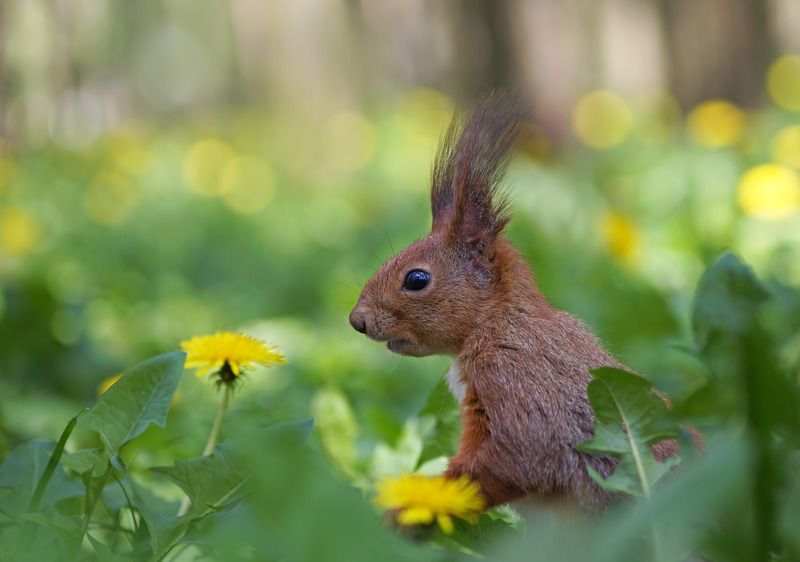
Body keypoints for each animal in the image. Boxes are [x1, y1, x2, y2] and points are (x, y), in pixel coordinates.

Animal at [349, 94, 676, 513]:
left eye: (416, 279)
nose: (357, 320)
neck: (498, 323)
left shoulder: (517, 379)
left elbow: (517, 456)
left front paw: (417, 505)